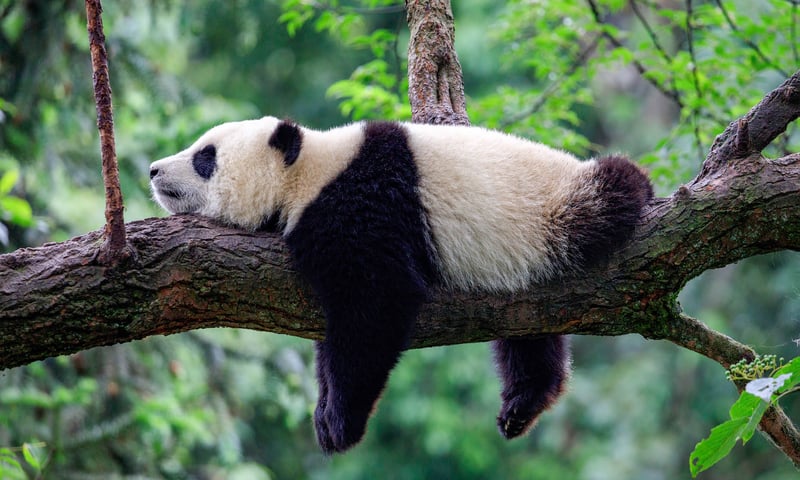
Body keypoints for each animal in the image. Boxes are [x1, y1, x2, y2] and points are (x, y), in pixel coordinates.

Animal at [149, 116, 653, 454]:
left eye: (205, 157)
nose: (153, 170)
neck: (309, 171)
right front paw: (324, 409)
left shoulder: (363, 205)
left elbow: (376, 304)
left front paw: (340, 422)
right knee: (528, 333)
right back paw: (523, 403)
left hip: (555, 211)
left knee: (612, 191)